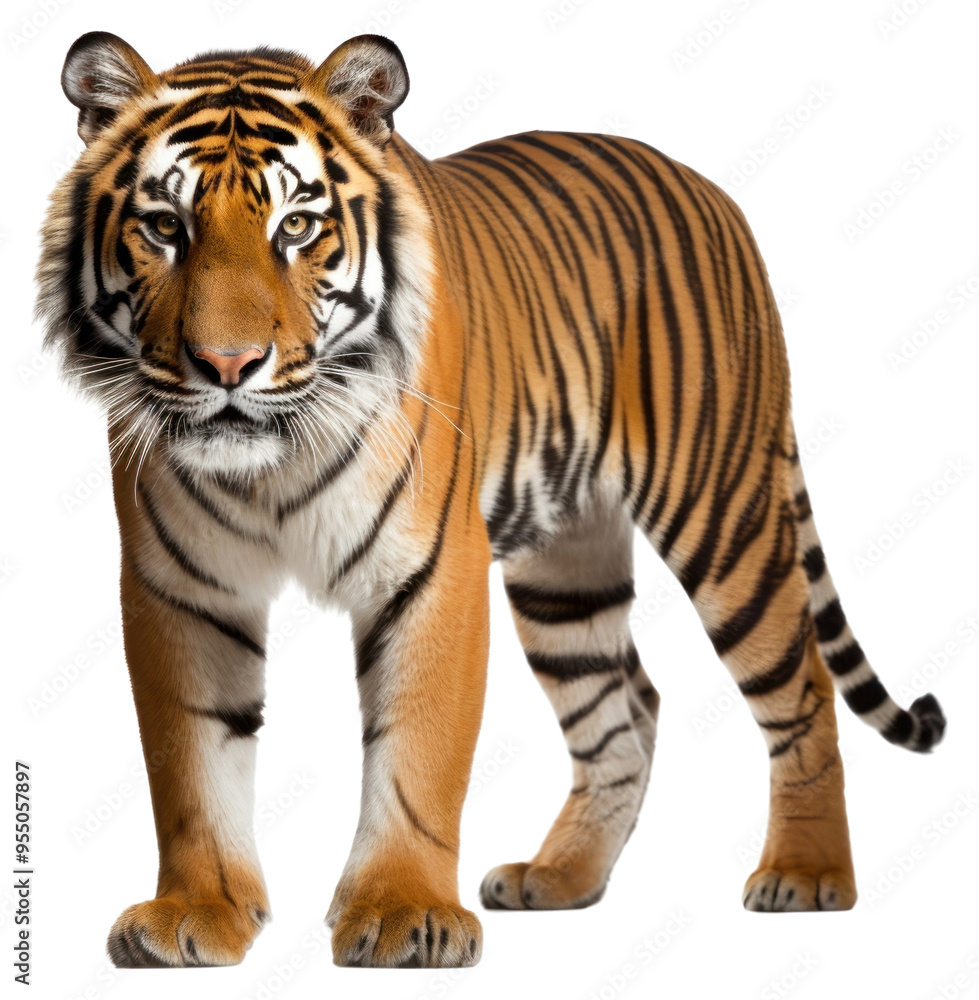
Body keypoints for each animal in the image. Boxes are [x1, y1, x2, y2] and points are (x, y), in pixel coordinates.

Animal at [38, 31, 947, 970]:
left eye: (296, 226)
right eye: (164, 227)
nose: (226, 364)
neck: (269, 467)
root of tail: (710, 189)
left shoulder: (432, 571)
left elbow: (417, 752)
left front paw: (403, 916)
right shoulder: (180, 588)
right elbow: (192, 764)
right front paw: (197, 913)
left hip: (722, 514)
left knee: (800, 684)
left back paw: (805, 874)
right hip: (565, 571)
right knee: (624, 709)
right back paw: (560, 877)